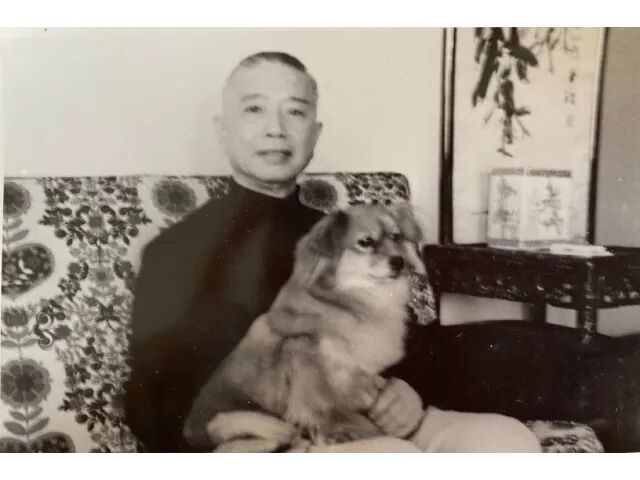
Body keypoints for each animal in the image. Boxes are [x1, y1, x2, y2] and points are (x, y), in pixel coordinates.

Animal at [182, 203, 426, 451]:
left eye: (396, 237)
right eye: (366, 242)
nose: (399, 261)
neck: (347, 301)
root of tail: (194, 432)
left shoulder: (355, 373)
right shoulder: (302, 353)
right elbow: (324, 407)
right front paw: (343, 430)